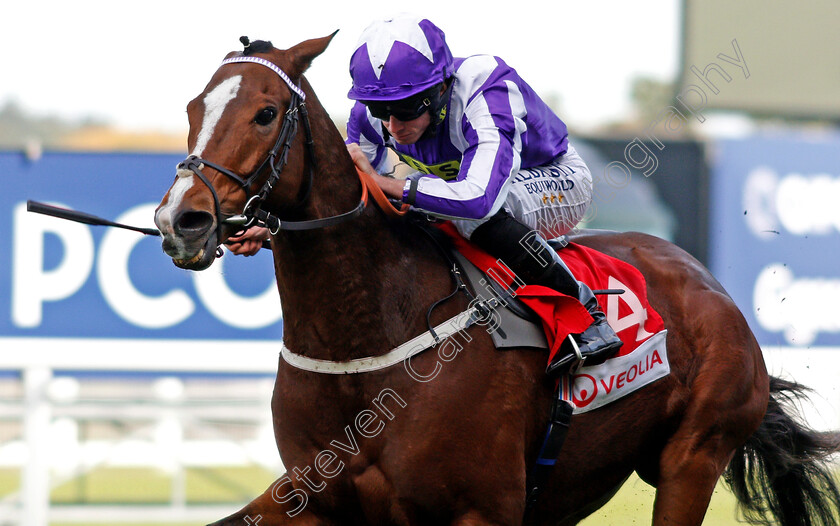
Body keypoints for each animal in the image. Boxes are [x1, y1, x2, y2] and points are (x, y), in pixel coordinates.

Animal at [153, 34, 840, 526]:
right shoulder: (312, 499)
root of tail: (708, 283)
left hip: (692, 456)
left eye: (266, 113)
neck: (364, 347)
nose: (181, 219)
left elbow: (479, 195)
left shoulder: (482, 509)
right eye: (192, 108)